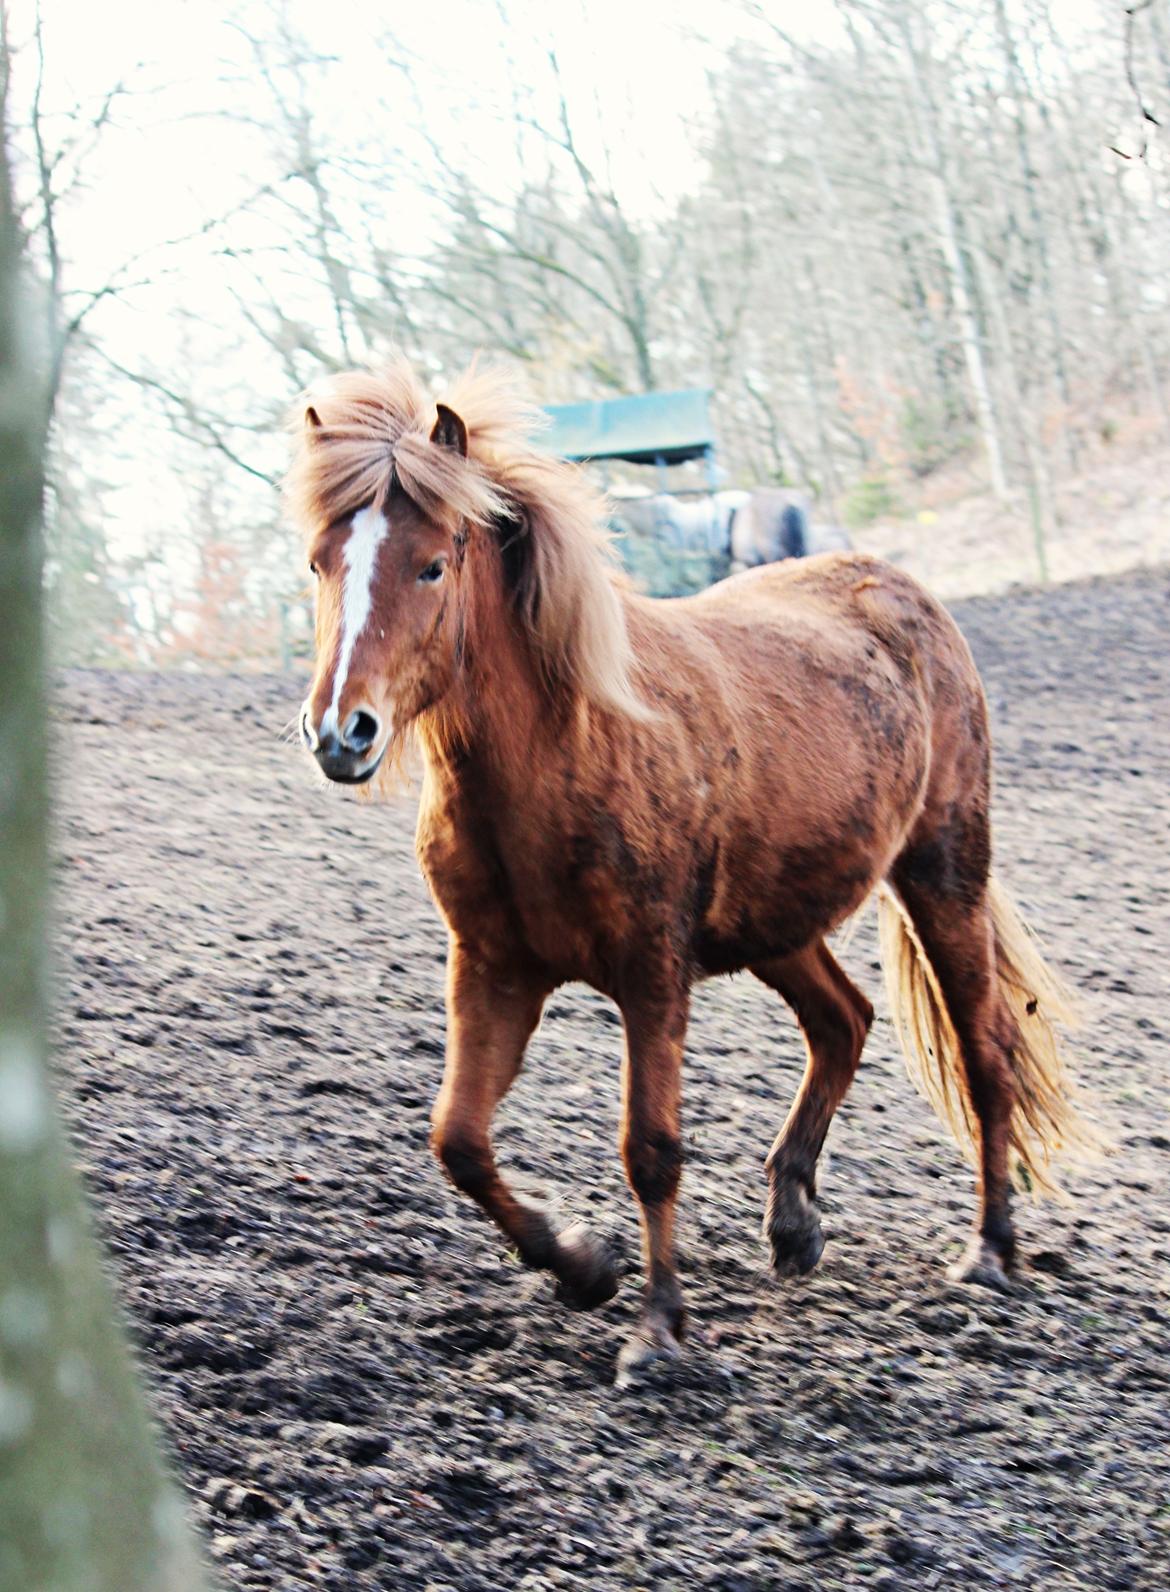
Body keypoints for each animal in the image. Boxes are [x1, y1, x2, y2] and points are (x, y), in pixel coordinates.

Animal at [288, 361, 1095, 1381]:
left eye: (432, 564)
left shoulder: (652, 974)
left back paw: (989, 1252)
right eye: (320, 563)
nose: (340, 732)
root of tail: (902, 592)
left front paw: (659, 1329)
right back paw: (794, 1222)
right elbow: (458, 1141)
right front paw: (582, 1265)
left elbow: (652, 1147)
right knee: (843, 1022)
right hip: (778, 922)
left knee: (983, 1051)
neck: (565, 752)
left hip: (943, 874)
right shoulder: (493, 971)